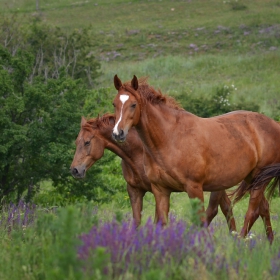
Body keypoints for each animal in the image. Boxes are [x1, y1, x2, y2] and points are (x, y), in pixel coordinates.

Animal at [70, 114, 236, 230]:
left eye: (87, 142)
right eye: (76, 142)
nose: (75, 170)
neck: (138, 152)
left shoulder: (158, 189)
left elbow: (157, 221)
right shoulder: (135, 190)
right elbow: (137, 222)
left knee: (214, 210)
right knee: (226, 206)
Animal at [111, 75, 280, 242]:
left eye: (133, 104)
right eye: (114, 104)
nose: (118, 133)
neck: (170, 138)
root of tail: (275, 124)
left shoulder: (194, 188)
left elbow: (200, 221)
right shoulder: (160, 190)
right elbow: (162, 223)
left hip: (260, 179)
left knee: (252, 212)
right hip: (252, 178)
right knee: (263, 208)